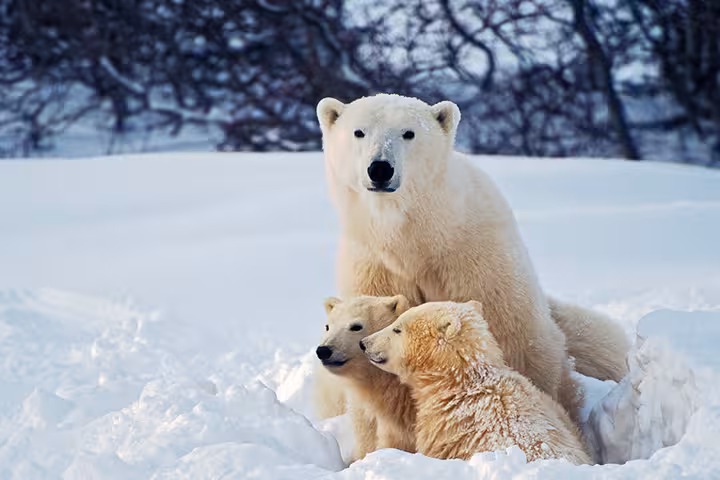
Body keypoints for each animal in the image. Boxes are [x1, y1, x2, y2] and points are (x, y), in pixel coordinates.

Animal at [315, 93, 629, 421]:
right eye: (359, 132)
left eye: (408, 133)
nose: (379, 168)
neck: (415, 237)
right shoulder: (374, 265)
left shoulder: (473, 256)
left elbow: (513, 335)